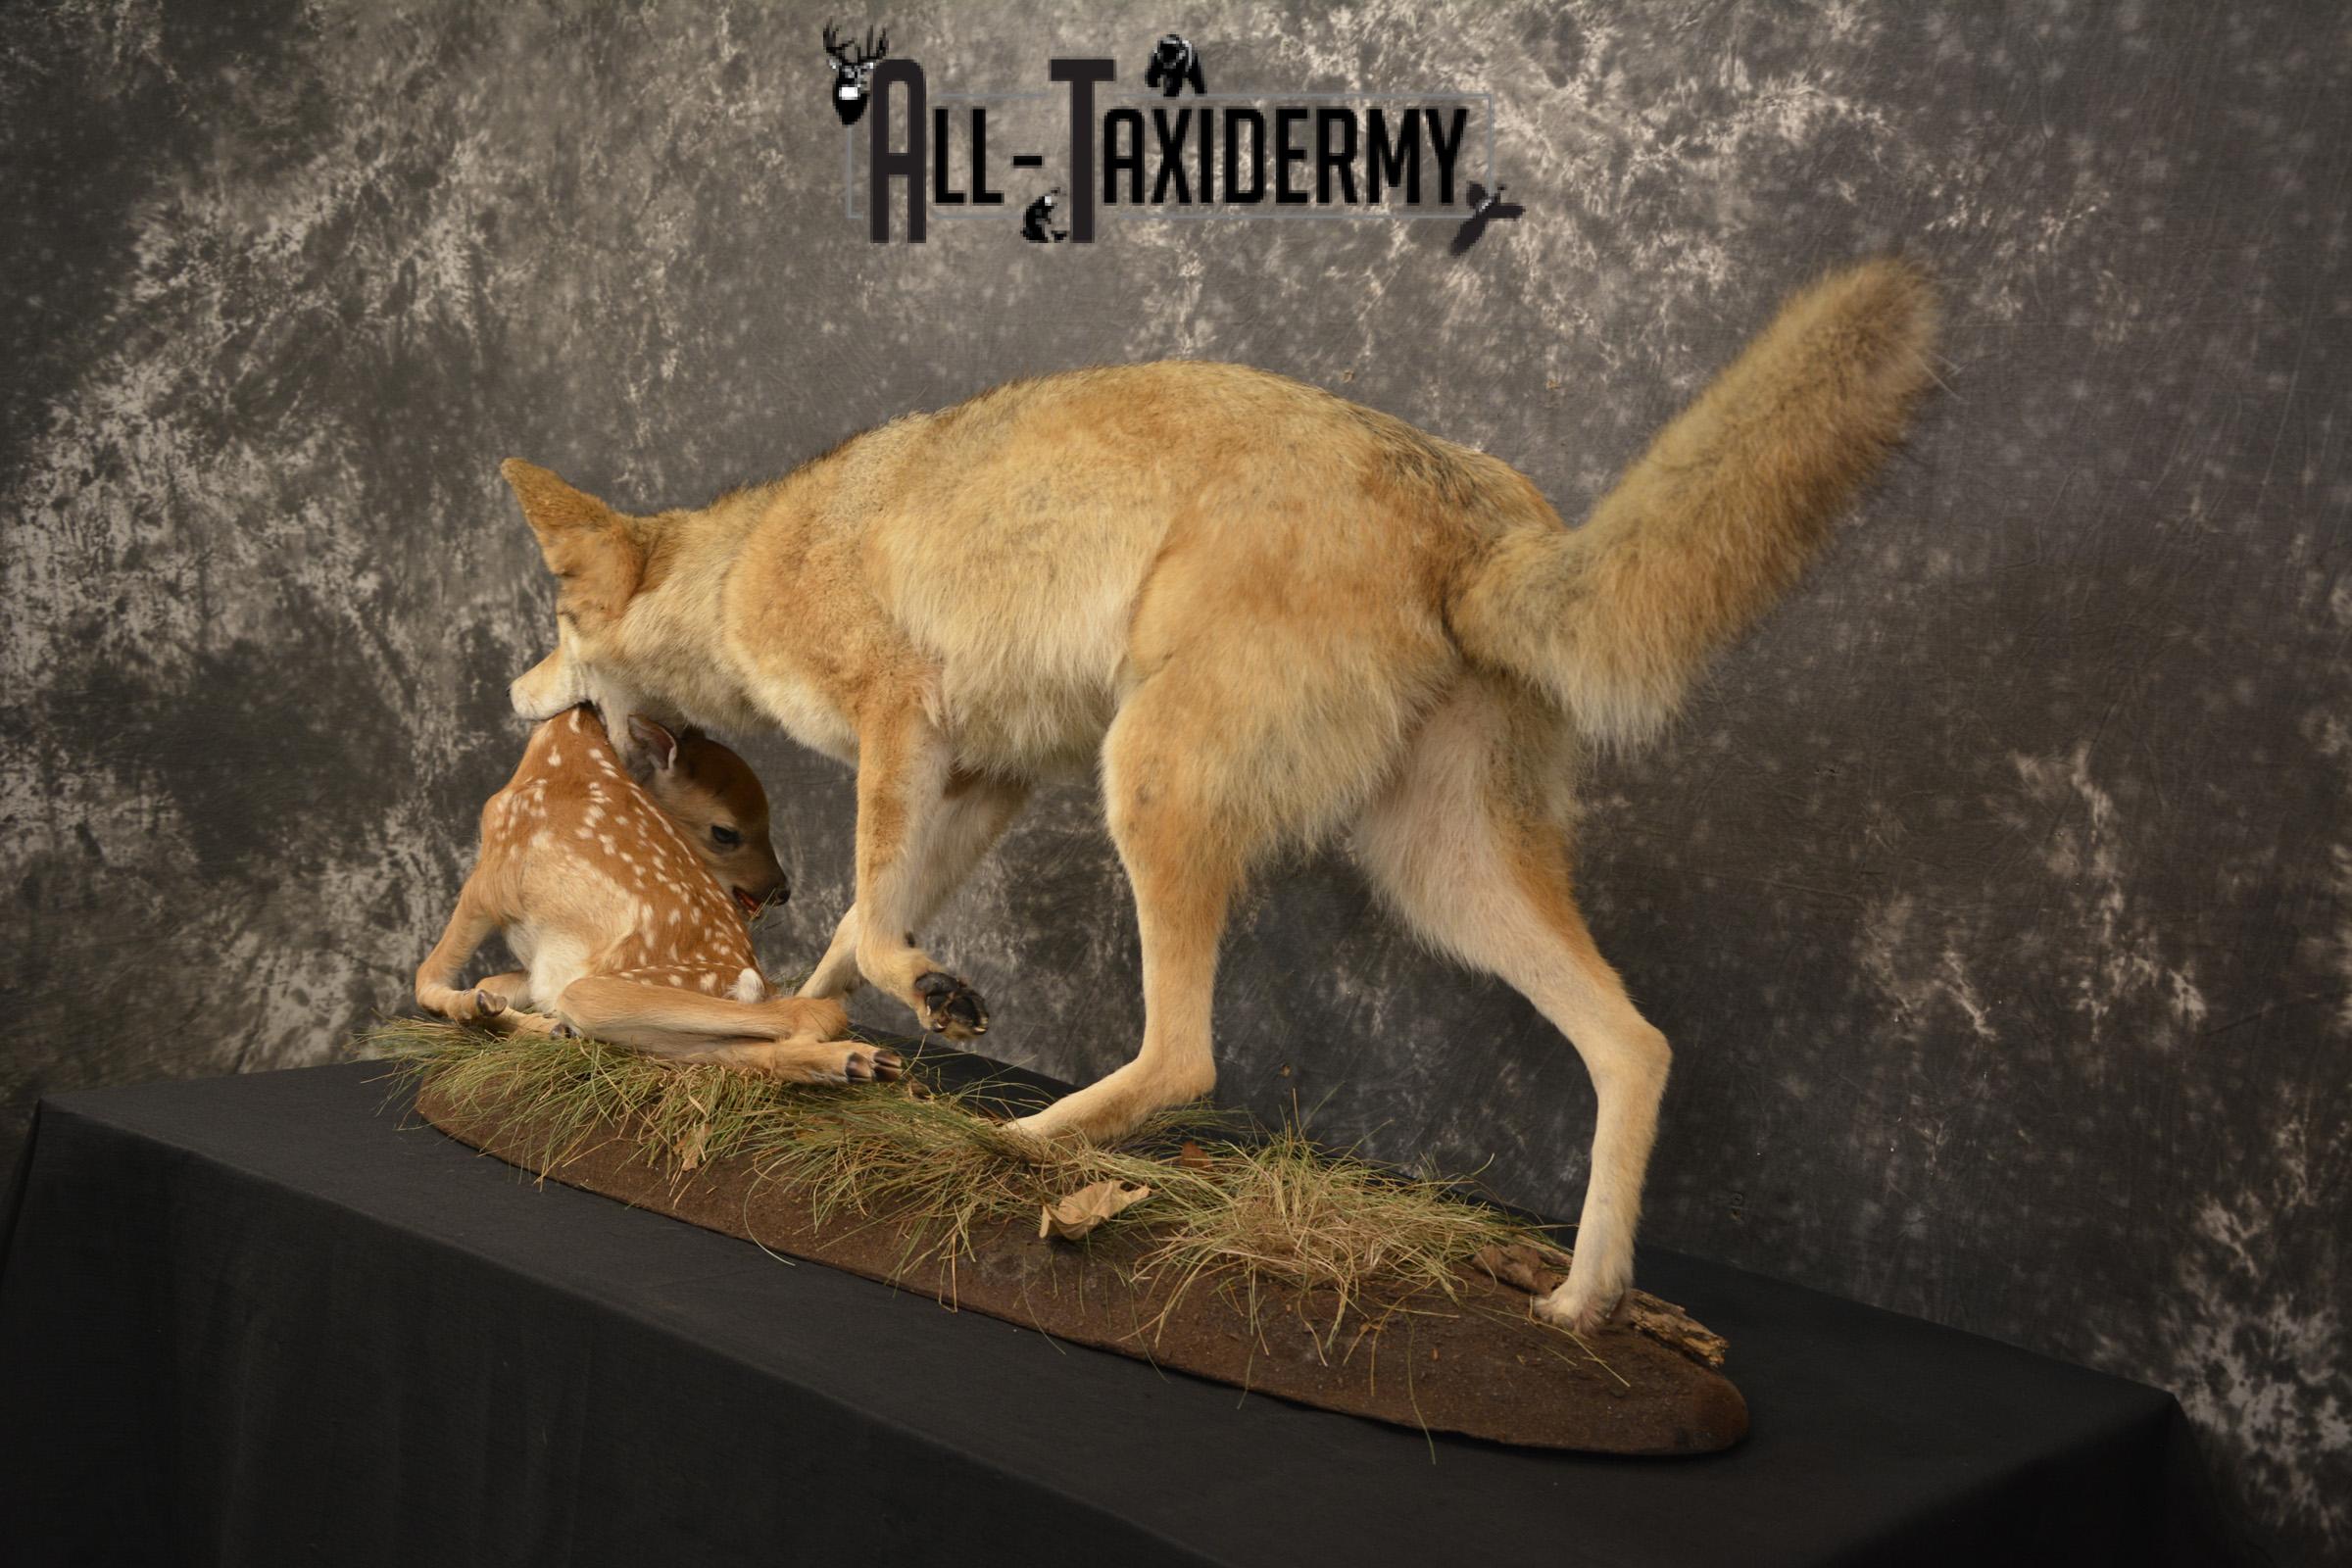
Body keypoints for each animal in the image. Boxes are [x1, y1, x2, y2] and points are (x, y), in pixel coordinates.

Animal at [415, 704, 901, 1083]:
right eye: (725, 832)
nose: (779, 891)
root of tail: (750, 984)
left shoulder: (491, 876)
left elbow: (428, 977)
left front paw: (470, 1007)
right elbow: (491, 980)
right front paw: (495, 1009)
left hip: (600, 992)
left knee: (816, 1011)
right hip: (661, 1030)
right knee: (742, 1050)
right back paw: (860, 1062)